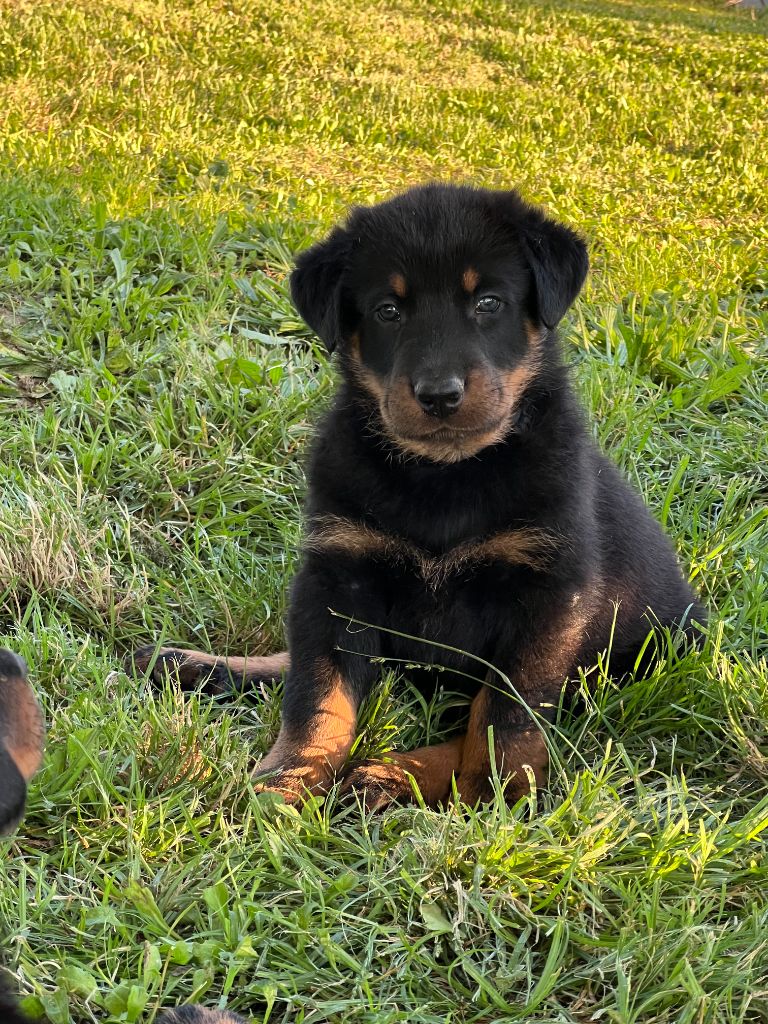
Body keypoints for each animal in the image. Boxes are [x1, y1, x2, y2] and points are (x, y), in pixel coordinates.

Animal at [132, 183, 705, 810]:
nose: (439, 395)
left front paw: (493, 797)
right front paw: (288, 780)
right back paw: (194, 666)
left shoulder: (549, 593)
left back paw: (391, 773)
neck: (444, 475)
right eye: (389, 310)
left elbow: (505, 715)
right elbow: (318, 695)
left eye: (488, 303)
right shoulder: (337, 575)